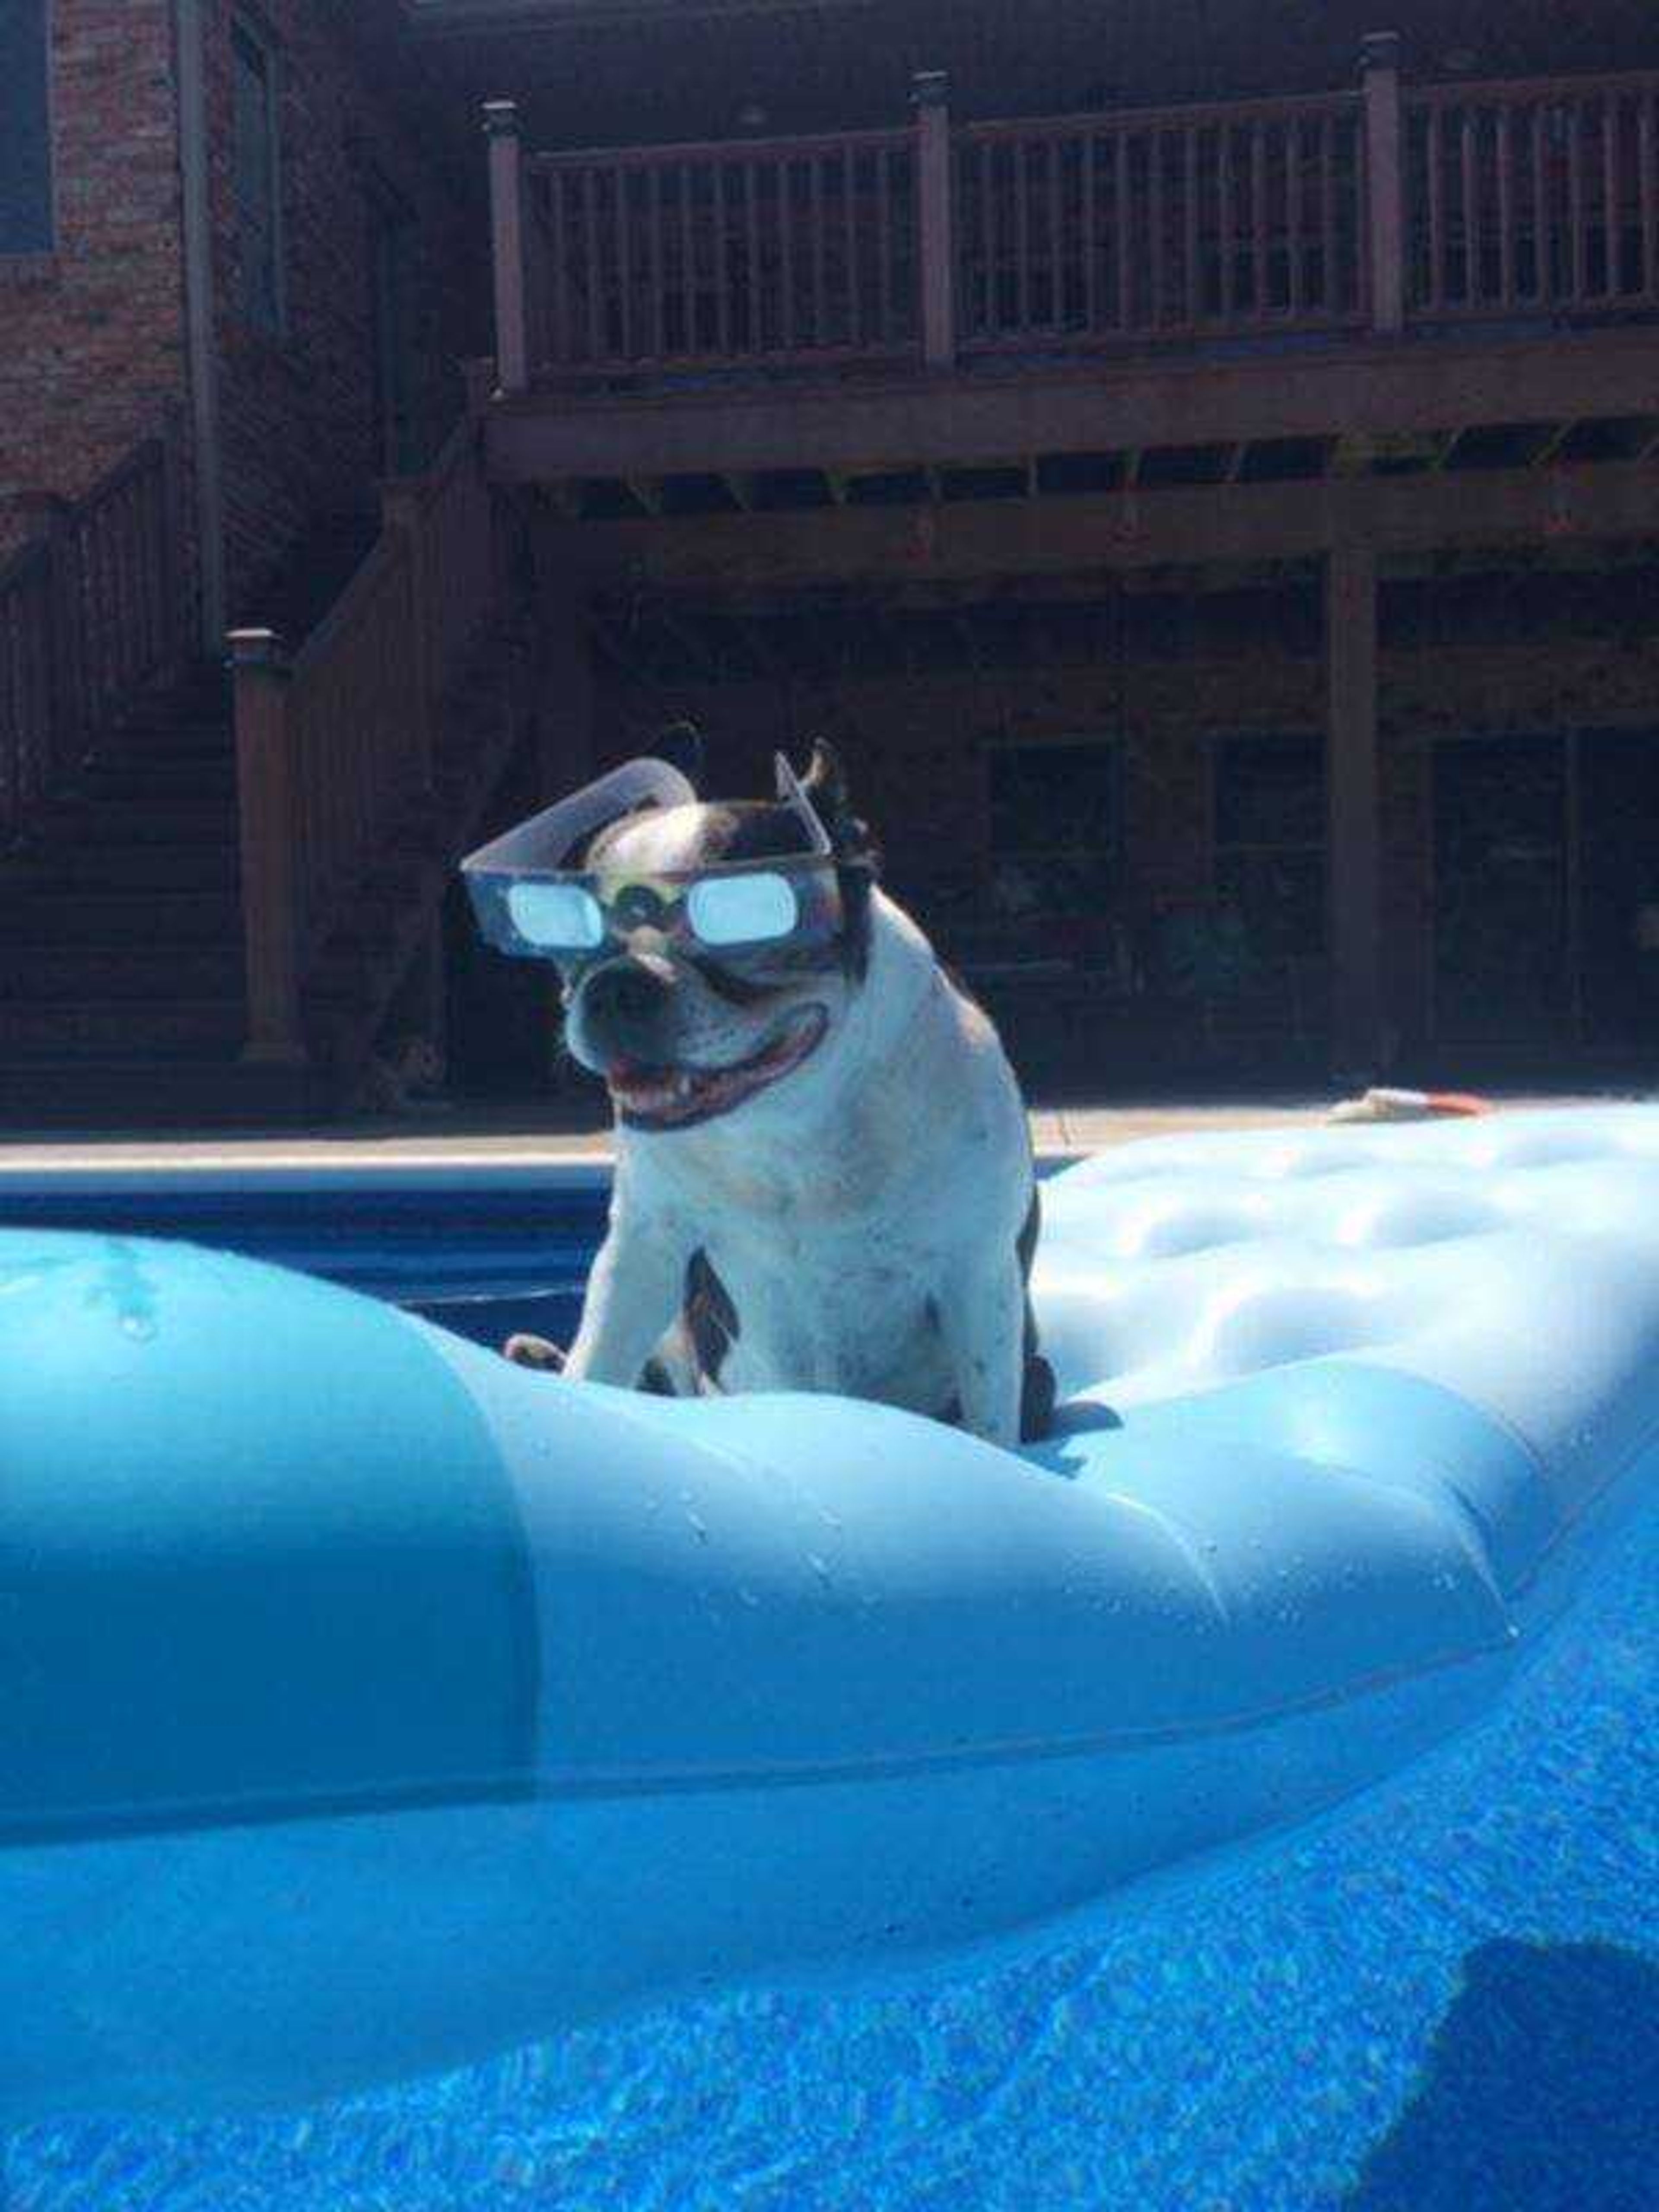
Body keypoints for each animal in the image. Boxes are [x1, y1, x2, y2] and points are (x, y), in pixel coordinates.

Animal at [500, 739, 1057, 1451]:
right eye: (569, 938)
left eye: (741, 922)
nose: (618, 983)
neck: (789, 1117)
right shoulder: (644, 1250)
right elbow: (598, 1361)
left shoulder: (977, 1271)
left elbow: (989, 1421)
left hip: (1037, 1370)